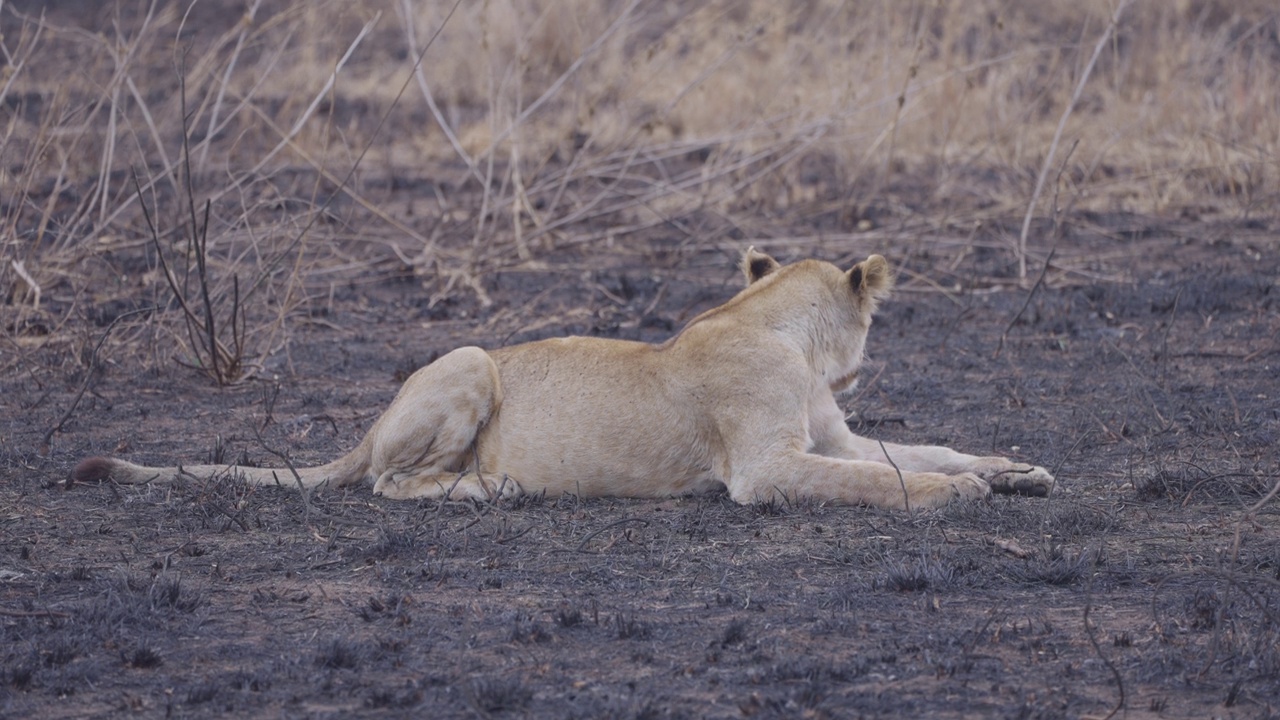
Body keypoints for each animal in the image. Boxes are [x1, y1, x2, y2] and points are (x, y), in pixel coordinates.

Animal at [70, 249, 1054, 507]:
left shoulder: (830, 437)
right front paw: (958, 497)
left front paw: (1016, 471)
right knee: (391, 484)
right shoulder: (765, 468)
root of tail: (371, 419)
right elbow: (881, 479)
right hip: (469, 358)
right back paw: (493, 488)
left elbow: (926, 449)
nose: (858, 371)